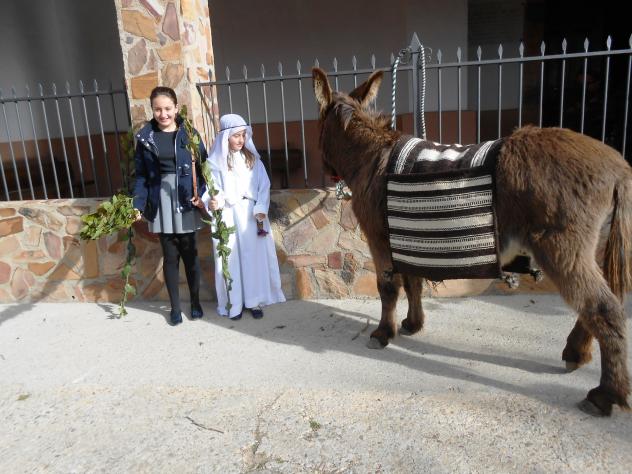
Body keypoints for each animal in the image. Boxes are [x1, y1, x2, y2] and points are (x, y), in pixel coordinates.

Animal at [312, 67, 632, 416]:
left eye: (317, 126)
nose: (325, 174)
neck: (369, 158)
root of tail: (617, 164)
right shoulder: (406, 238)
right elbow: (413, 283)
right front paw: (413, 324)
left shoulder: (380, 240)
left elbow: (389, 289)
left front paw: (384, 333)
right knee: (599, 303)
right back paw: (577, 354)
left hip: (560, 246)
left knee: (603, 307)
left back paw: (604, 395)